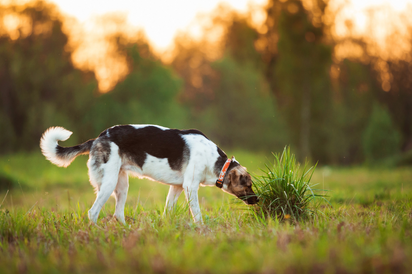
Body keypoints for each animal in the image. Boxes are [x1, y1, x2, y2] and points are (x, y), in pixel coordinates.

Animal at [39, 124, 258, 223]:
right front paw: (202, 230)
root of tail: (98, 138)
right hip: (108, 184)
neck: (217, 163)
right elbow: (197, 214)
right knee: (93, 212)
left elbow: (168, 210)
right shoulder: (190, 187)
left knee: (118, 213)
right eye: (248, 185)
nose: (258, 200)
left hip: (122, 186)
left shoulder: (177, 187)